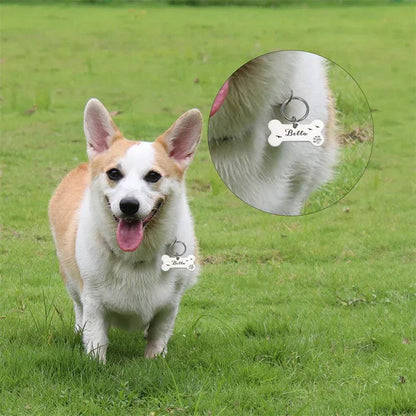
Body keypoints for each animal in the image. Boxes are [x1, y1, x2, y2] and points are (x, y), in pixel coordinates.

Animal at [48, 99, 203, 362]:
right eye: (114, 173)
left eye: (153, 176)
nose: (129, 205)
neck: (135, 256)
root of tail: (84, 165)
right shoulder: (93, 301)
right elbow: (96, 338)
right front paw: (96, 362)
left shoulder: (170, 304)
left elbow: (158, 334)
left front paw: (154, 359)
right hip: (69, 276)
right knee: (78, 305)